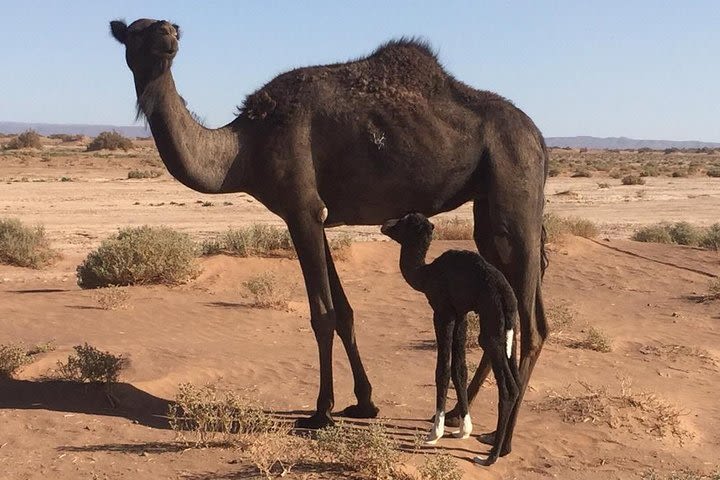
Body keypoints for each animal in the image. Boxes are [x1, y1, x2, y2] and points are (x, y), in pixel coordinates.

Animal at [109, 17, 548, 454]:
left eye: (169, 27)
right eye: (137, 32)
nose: (167, 38)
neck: (243, 150)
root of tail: (540, 139)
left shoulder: (300, 210)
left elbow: (322, 314)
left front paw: (321, 412)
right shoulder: (317, 216)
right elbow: (345, 312)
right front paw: (364, 402)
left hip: (515, 192)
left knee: (532, 324)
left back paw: (499, 438)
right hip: (487, 209)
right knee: (506, 309)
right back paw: (460, 415)